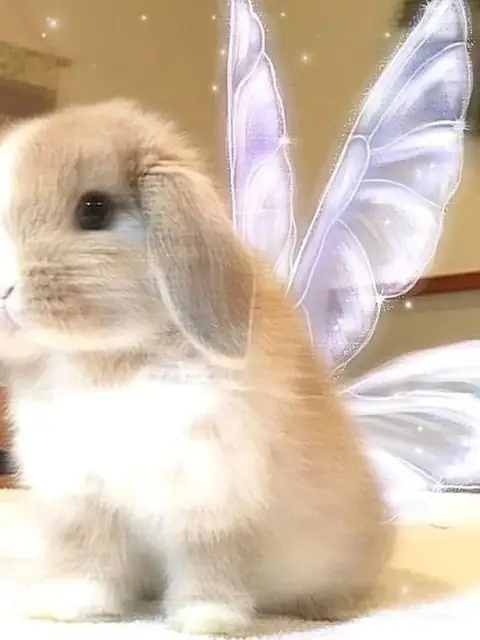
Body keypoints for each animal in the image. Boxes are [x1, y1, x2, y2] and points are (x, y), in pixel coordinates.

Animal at [0, 99, 394, 634]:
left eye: (94, 209)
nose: (2, 288)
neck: (106, 361)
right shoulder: (82, 501)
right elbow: (89, 559)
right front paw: (66, 606)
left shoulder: (208, 502)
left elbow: (208, 561)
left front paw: (208, 618)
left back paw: (327, 608)